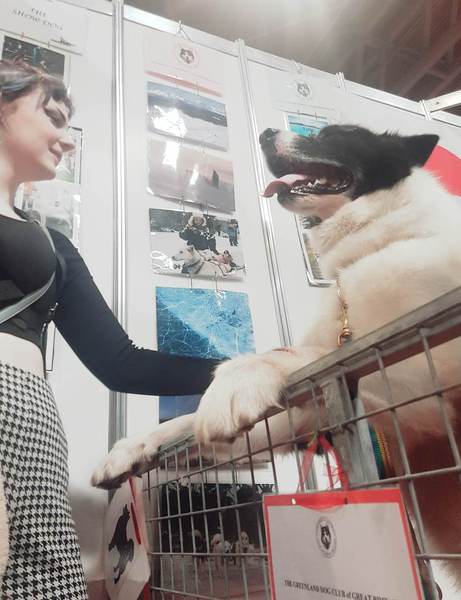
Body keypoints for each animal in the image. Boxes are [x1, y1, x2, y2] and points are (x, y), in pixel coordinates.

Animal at [92, 125, 461, 590]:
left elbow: (295, 353)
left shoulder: (425, 366)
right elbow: (189, 421)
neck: (376, 243)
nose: (266, 132)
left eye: (338, 133)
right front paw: (130, 447)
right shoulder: (310, 418)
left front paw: (234, 380)